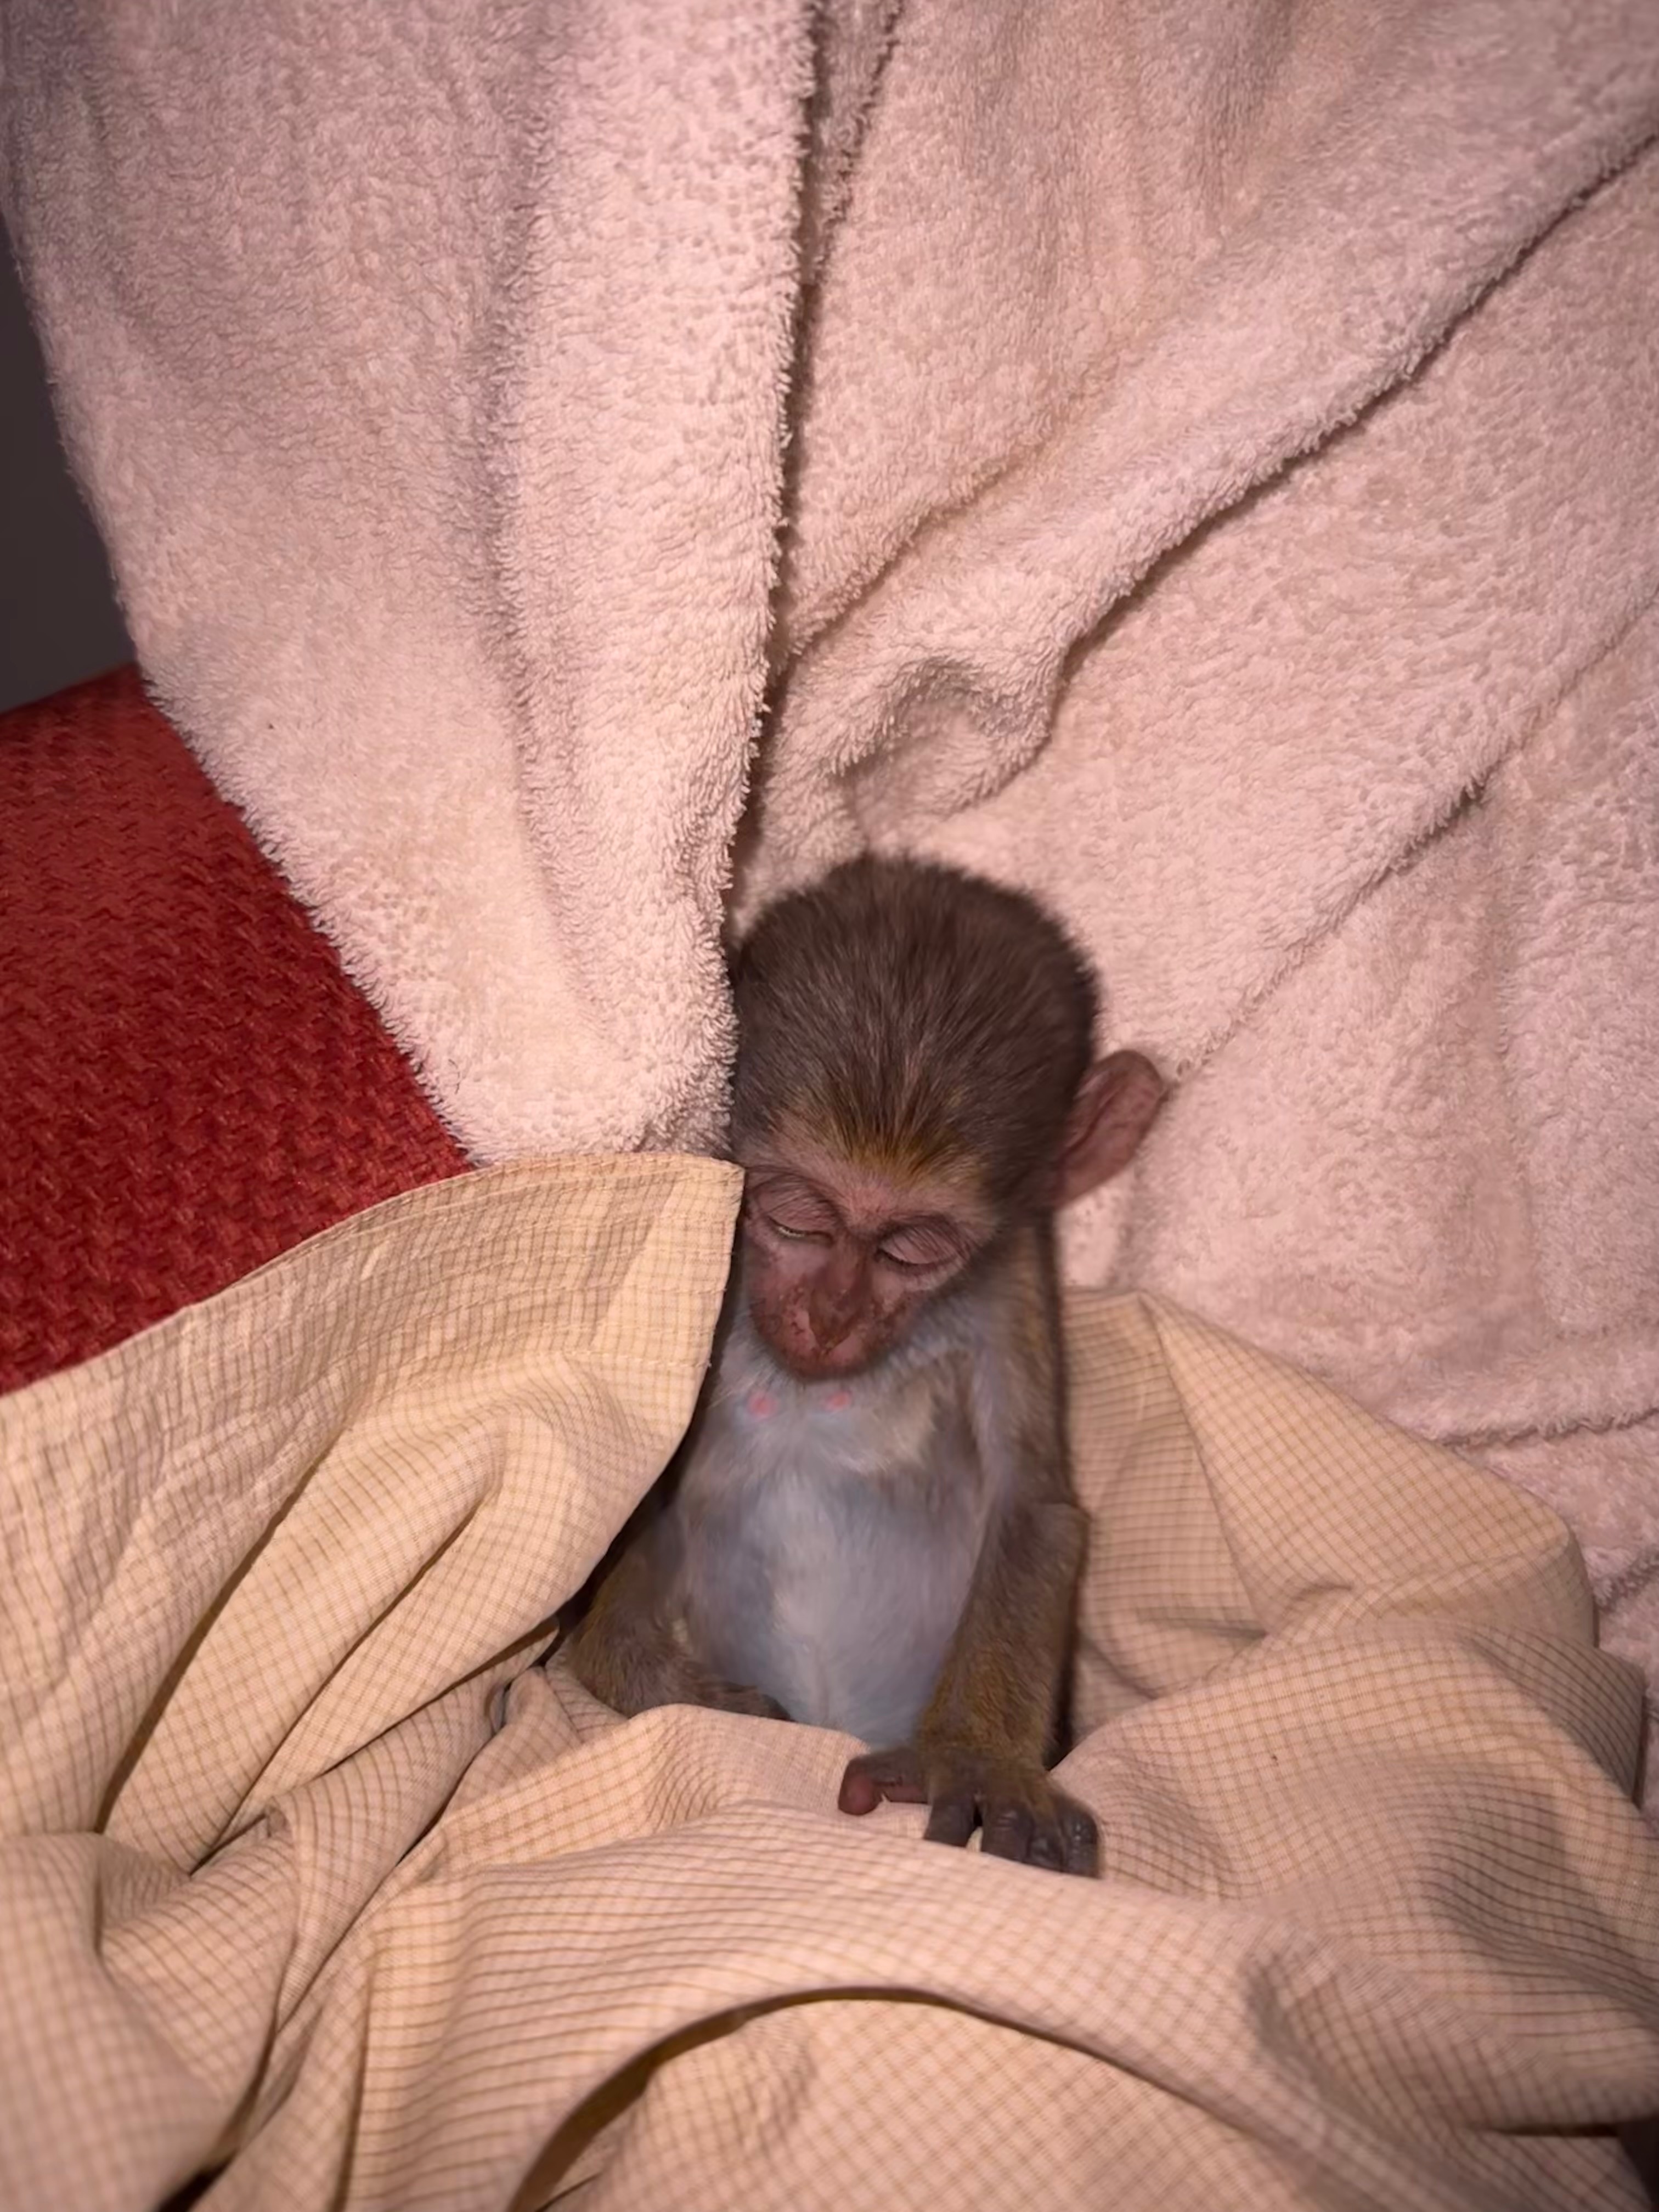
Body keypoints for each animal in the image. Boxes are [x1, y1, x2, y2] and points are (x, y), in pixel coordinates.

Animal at [564, 855, 1166, 1876]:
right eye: (795, 1215)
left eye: (913, 1249)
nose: (831, 1314)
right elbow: (651, 1497)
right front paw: (657, 1683)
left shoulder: (1010, 1280)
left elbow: (1032, 1506)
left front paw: (978, 1756)